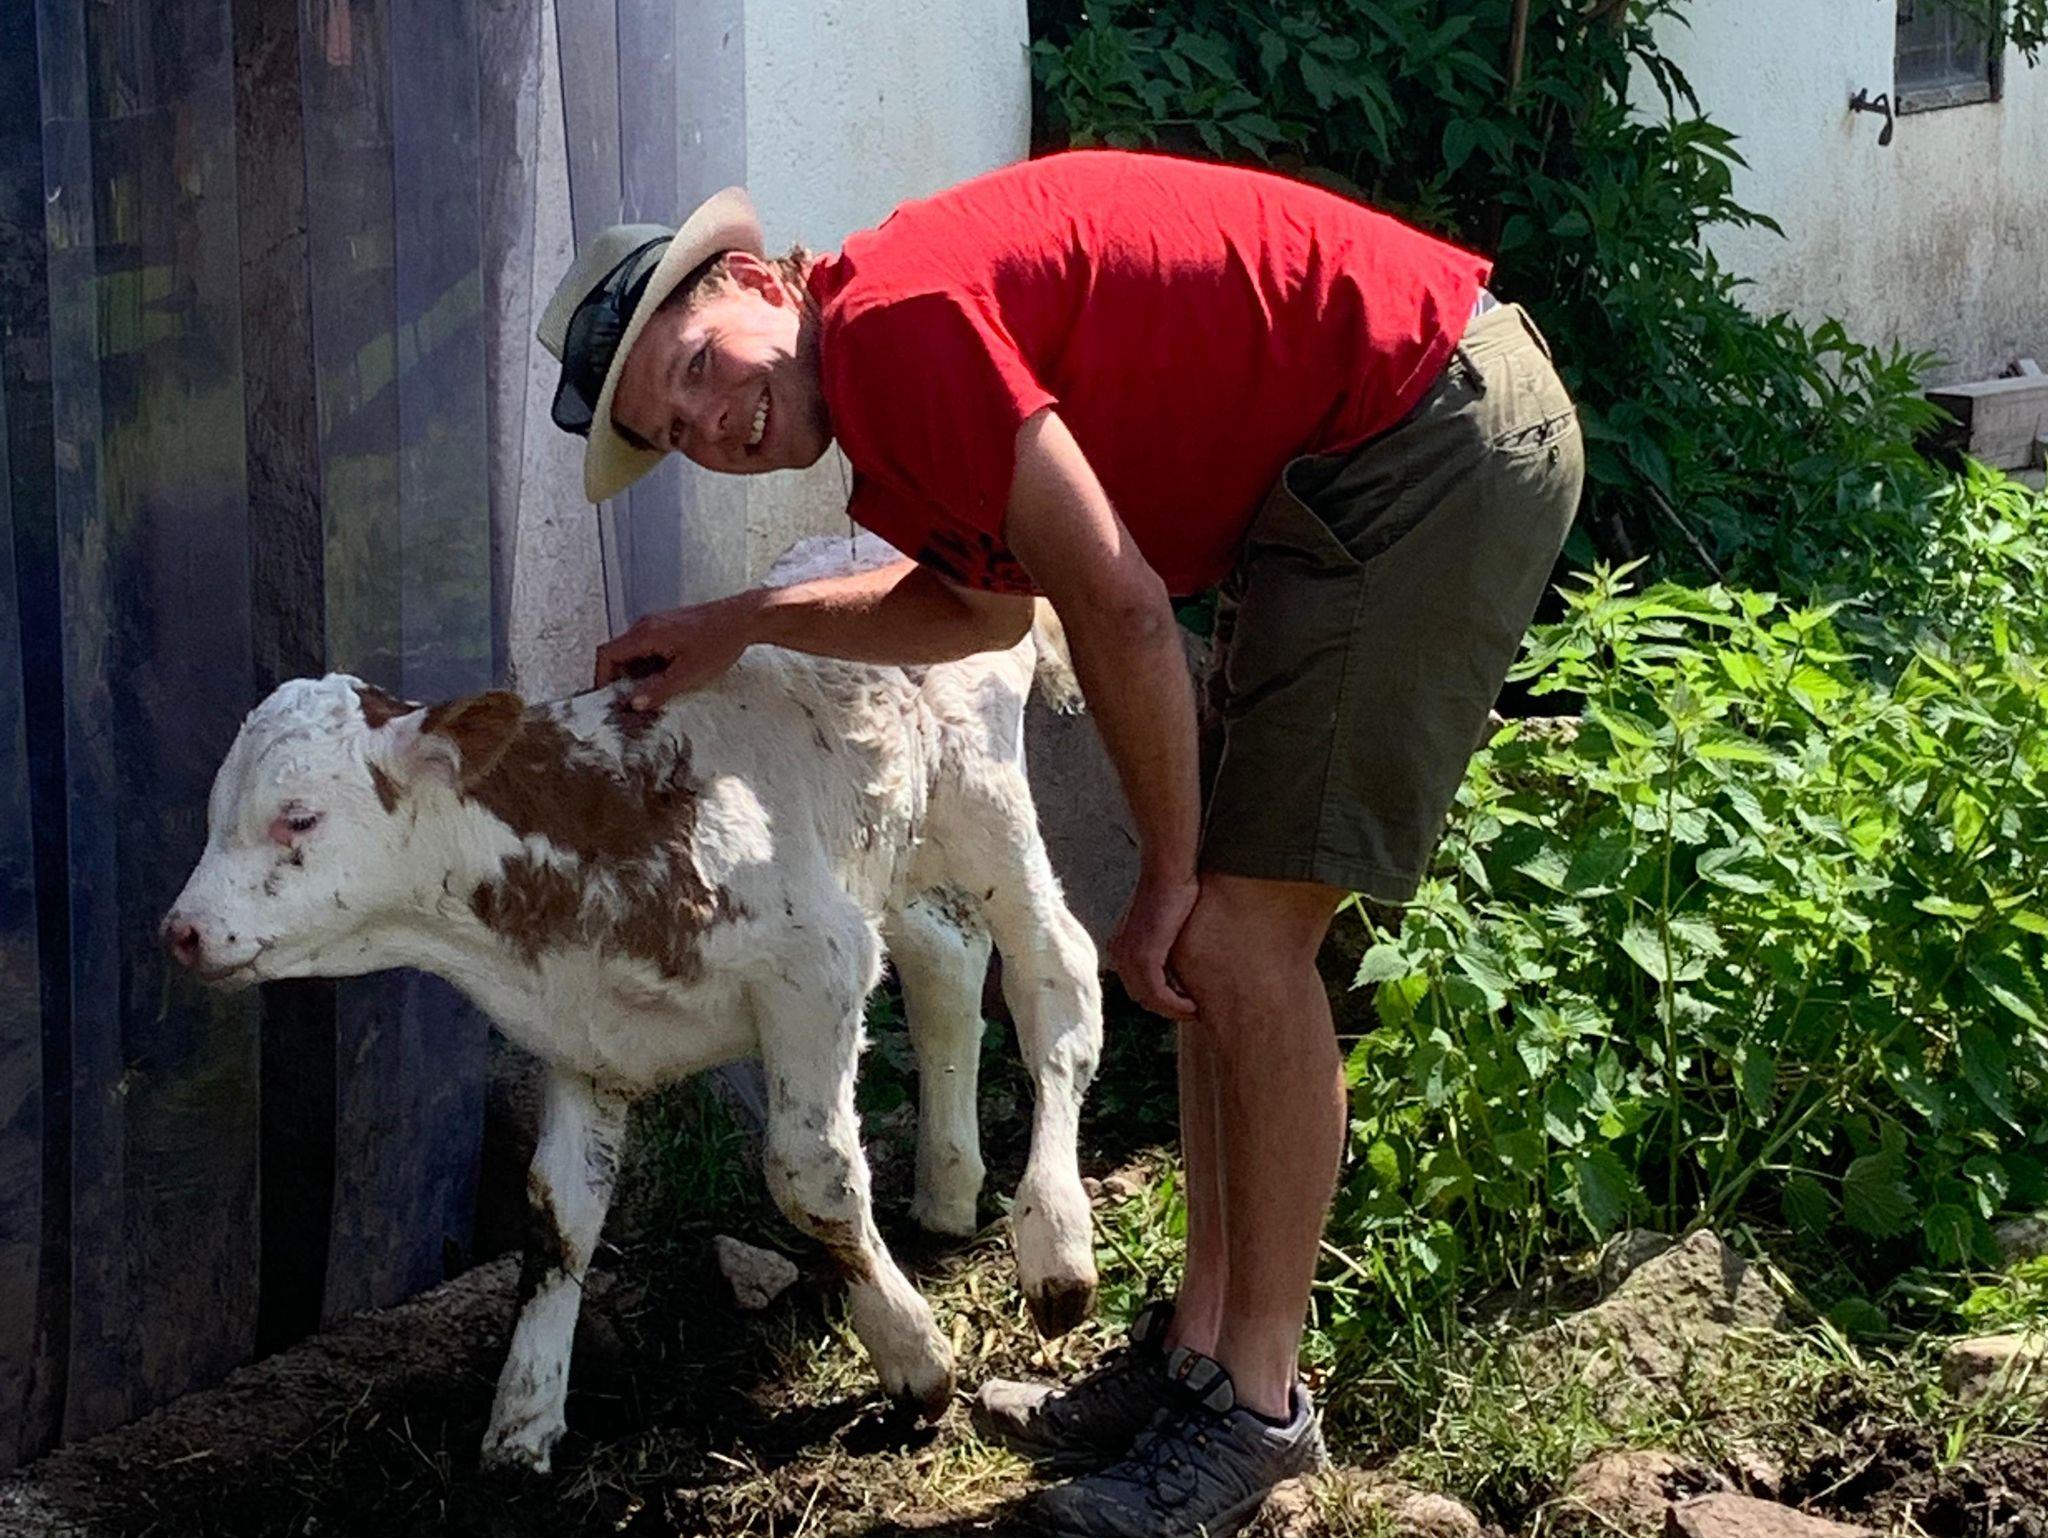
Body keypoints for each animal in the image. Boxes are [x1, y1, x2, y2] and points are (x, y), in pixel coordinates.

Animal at [163, 535, 1103, 1473]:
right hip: (896, 843)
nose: (181, 931)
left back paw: (1055, 1244)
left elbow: (813, 1176)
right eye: (212, 814)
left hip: (984, 803)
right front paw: (524, 1417)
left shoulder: (816, 965)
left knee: (1059, 976)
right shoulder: (582, 1033)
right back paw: (947, 1188)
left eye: (299, 817)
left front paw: (914, 1358)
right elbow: (556, 1213)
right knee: (947, 954)